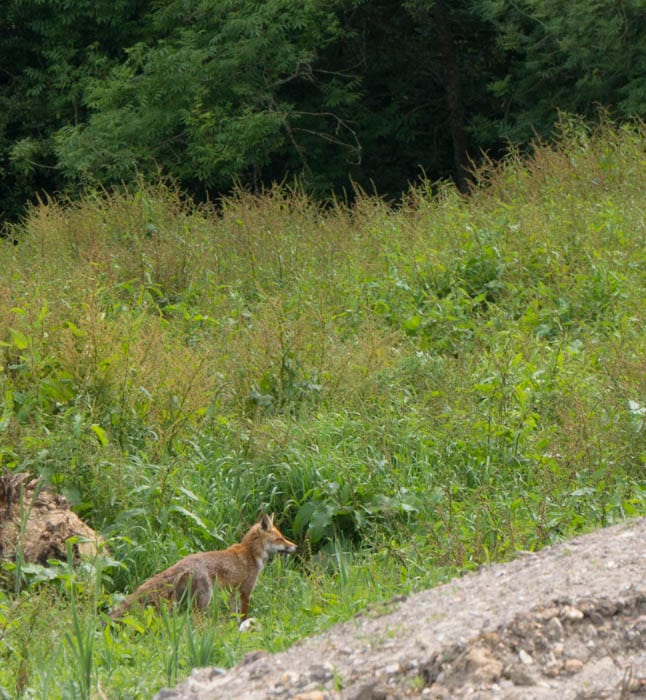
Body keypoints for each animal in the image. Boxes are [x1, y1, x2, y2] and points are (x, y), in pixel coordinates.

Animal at [110, 512, 298, 620]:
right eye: (280, 539)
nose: (295, 547)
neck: (251, 553)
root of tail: (183, 562)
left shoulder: (233, 592)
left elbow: (234, 612)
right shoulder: (246, 590)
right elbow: (244, 615)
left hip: (182, 599)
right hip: (204, 599)